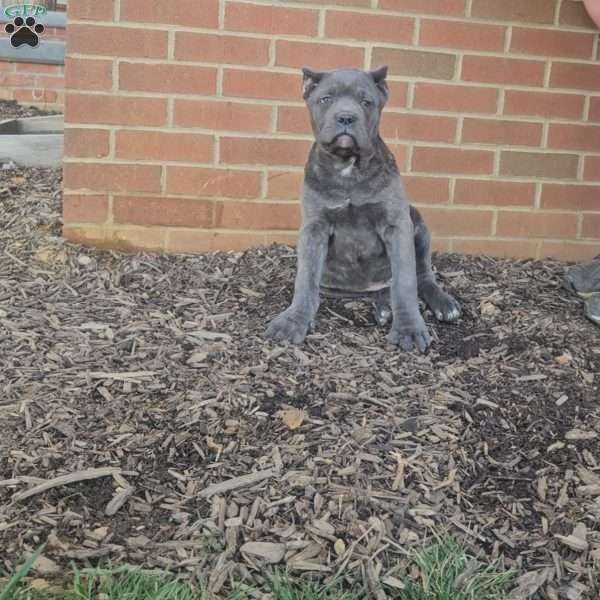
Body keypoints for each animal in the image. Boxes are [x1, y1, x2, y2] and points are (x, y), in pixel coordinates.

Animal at [266, 67, 460, 352]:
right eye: (326, 99)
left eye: (366, 102)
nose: (346, 116)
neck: (348, 168)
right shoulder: (314, 227)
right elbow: (305, 280)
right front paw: (293, 320)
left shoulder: (396, 224)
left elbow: (405, 281)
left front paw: (409, 329)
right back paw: (384, 308)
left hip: (417, 223)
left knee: (421, 275)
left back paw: (440, 304)